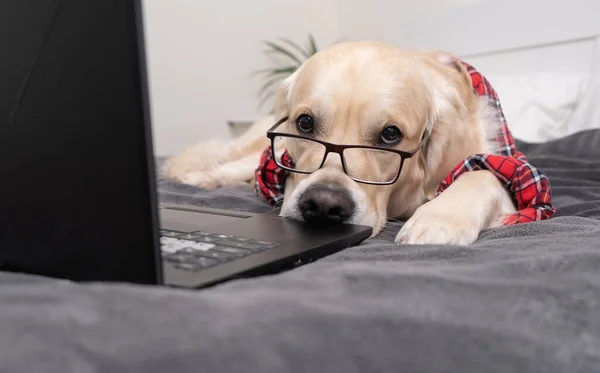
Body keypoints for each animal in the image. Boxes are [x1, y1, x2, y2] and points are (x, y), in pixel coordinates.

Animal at [163, 41, 520, 244]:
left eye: (390, 134)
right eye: (305, 122)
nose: (323, 205)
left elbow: (482, 174)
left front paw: (439, 219)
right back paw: (195, 177)